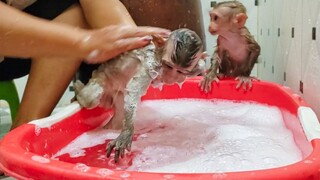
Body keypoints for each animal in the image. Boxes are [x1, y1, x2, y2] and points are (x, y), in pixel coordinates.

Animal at [74, 28, 206, 163]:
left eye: (180, 71)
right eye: (169, 66)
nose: (172, 77)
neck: (159, 54)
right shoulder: (150, 65)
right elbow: (133, 90)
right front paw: (127, 133)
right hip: (101, 77)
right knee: (90, 98)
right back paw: (79, 89)